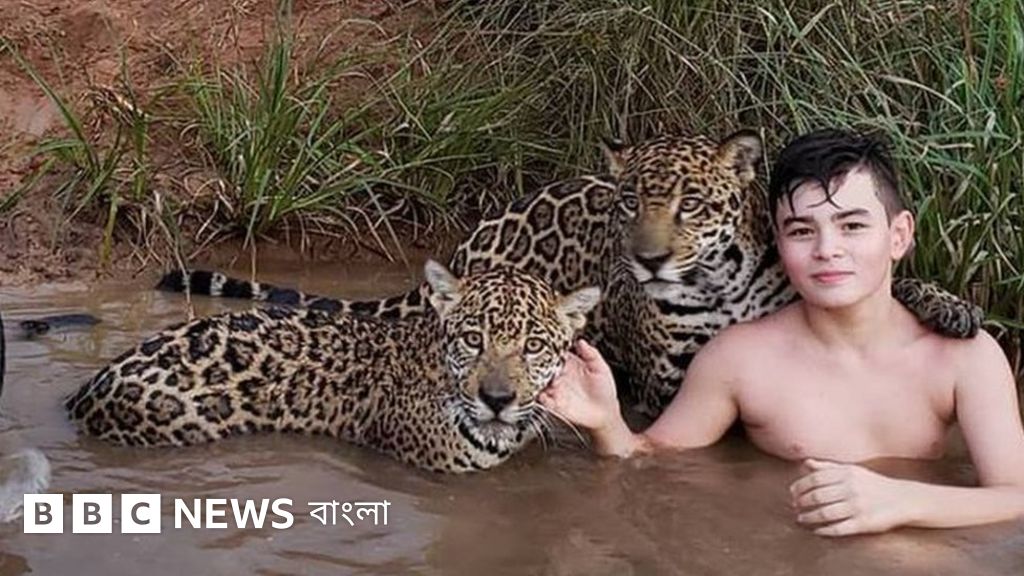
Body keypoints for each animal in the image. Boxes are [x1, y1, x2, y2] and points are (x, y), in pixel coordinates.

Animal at [158, 131, 982, 418]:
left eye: (689, 204)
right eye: (628, 204)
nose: (647, 258)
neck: (719, 285)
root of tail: (476, 237)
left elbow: (905, 283)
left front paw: (948, 307)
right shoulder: (665, 382)